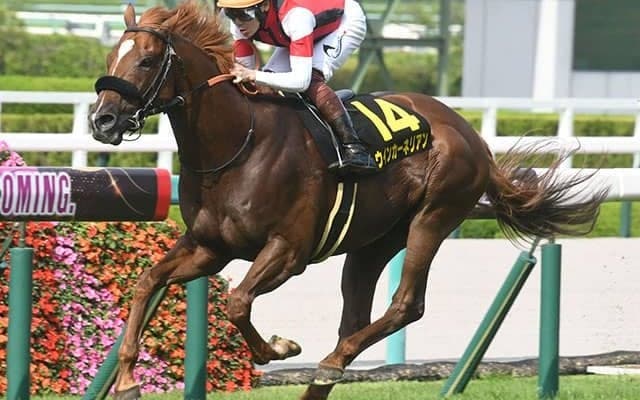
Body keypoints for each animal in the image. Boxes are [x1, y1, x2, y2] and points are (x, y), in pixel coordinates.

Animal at [88, 2, 607, 399]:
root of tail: (471, 134)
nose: (103, 121)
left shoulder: (289, 251)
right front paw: (128, 380)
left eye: (147, 61)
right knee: (356, 315)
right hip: (372, 242)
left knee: (405, 305)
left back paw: (330, 362)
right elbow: (147, 281)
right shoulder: (209, 247)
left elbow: (237, 302)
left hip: (433, 217)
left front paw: (279, 349)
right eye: (112, 55)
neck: (239, 145)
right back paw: (324, 376)